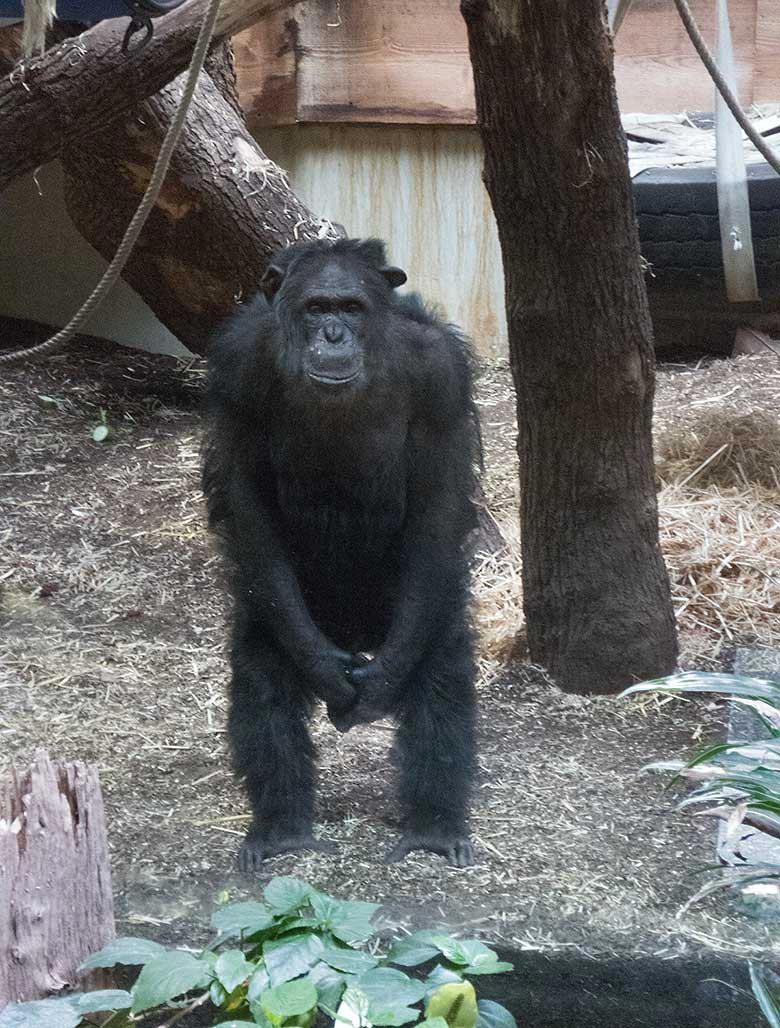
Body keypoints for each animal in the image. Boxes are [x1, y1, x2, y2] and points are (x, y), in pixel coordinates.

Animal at [201, 238, 483, 867]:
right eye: (316, 308)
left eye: (350, 307)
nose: (332, 335)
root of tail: (356, 633)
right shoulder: (238, 368)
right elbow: (246, 494)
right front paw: (328, 677)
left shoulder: (442, 375)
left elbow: (438, 500)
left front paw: (377, 689)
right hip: (287, 608)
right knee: (262, 677)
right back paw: (282, 827)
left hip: (409, 610)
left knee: (442, 669)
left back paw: (433, 824)